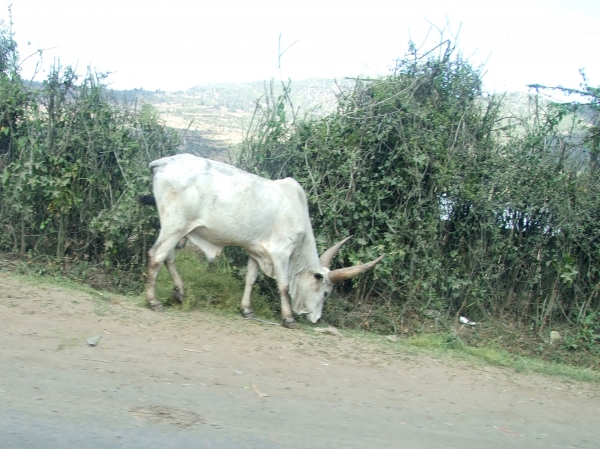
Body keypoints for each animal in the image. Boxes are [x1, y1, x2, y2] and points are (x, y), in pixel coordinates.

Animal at [141, 153, 384, 326]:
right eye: (325, 293)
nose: (316, 319)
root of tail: (164, 162)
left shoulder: (255, 251)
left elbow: (251, 279)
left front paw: (247, 310)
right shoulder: (280, 252)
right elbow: (283, 285)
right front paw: (288, 319)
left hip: (177, 229)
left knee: (168, 257)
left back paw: (179, 293)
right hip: (175, 225)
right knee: (156, 255)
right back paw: (154, 302)